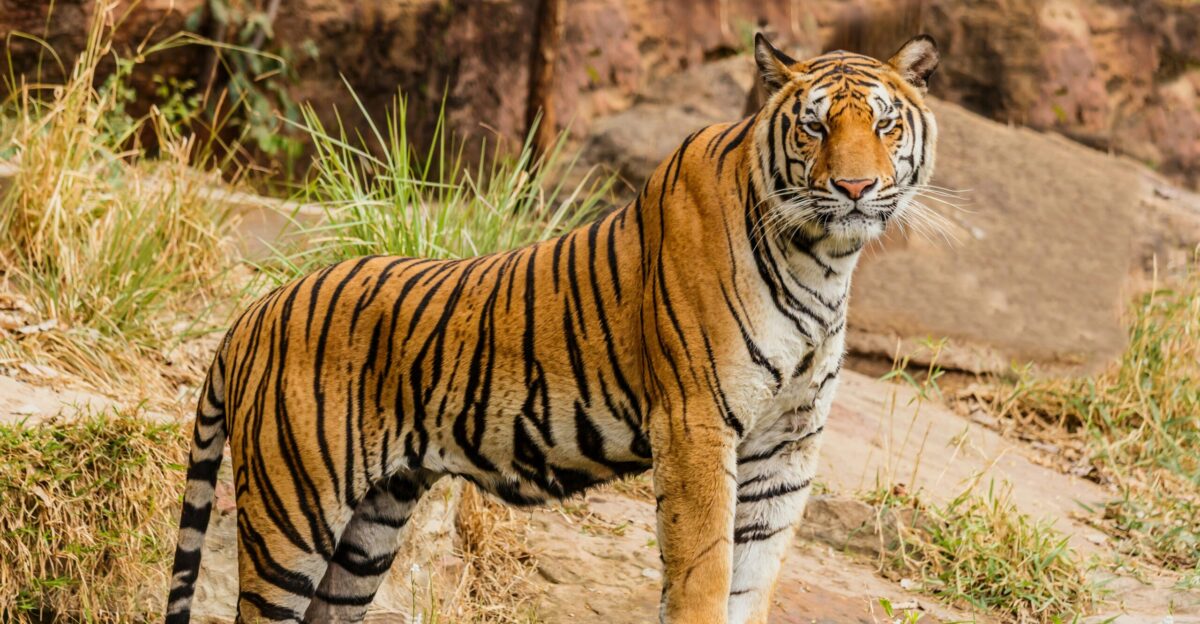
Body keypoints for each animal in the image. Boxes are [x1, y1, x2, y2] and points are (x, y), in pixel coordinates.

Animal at [164, 33, 939, 624]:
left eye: (884, 125)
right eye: (815, 126)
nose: (855, 189)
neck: (823, 260)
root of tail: (252, 313)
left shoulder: (787, 445)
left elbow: (752, 580)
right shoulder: (696, 425)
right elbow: (704, 575)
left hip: (370, 529)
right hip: (292, 513)